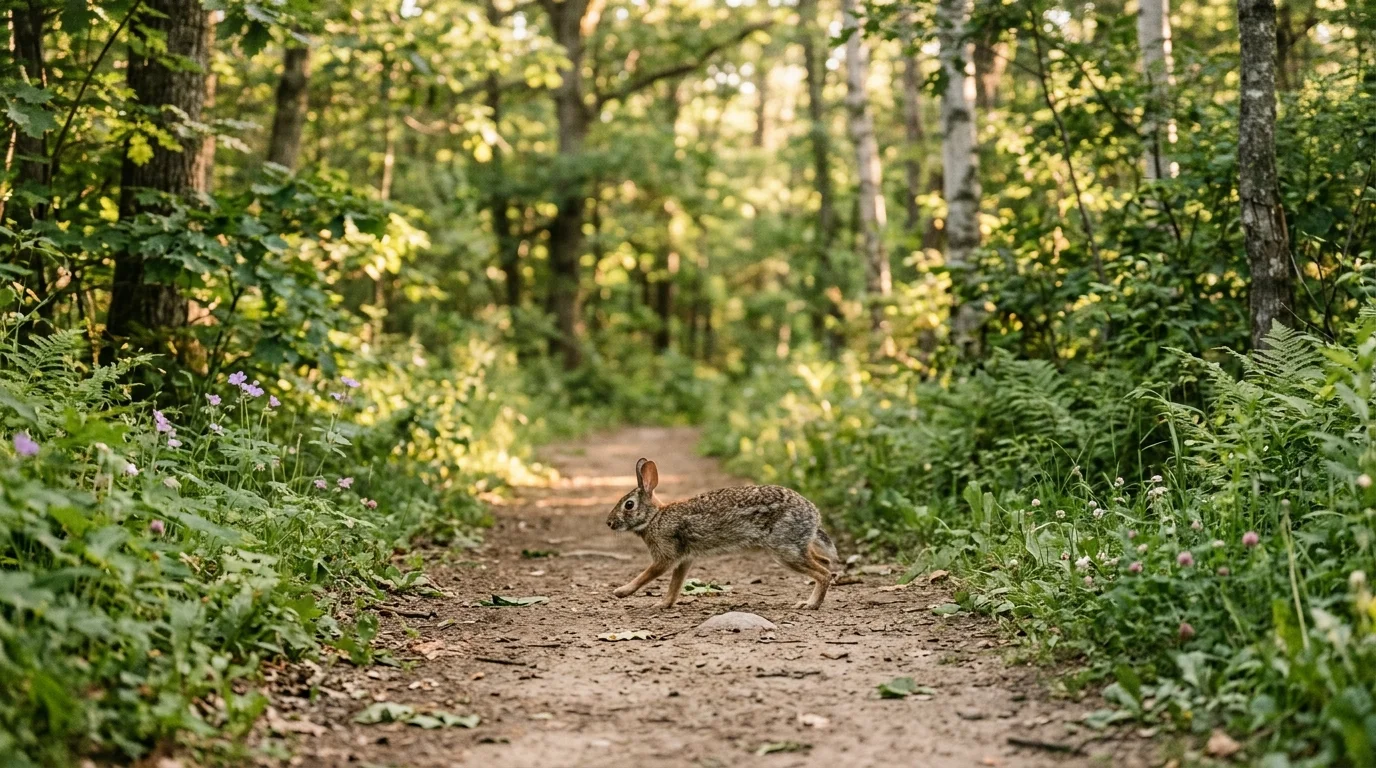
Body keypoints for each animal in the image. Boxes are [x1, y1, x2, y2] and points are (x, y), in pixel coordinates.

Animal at [606, 457, 839, 610]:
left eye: (628, 505)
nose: (609, 523)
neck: (654, 517)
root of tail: (814, 515)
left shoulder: (665, 556)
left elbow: (646, 575)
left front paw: (621, 592)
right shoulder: (685, 559)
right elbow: (675, 584)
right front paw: (664, 604)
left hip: (785, 550)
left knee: (823, 573)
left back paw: (810, 604)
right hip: (796, 546)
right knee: (825, 563)